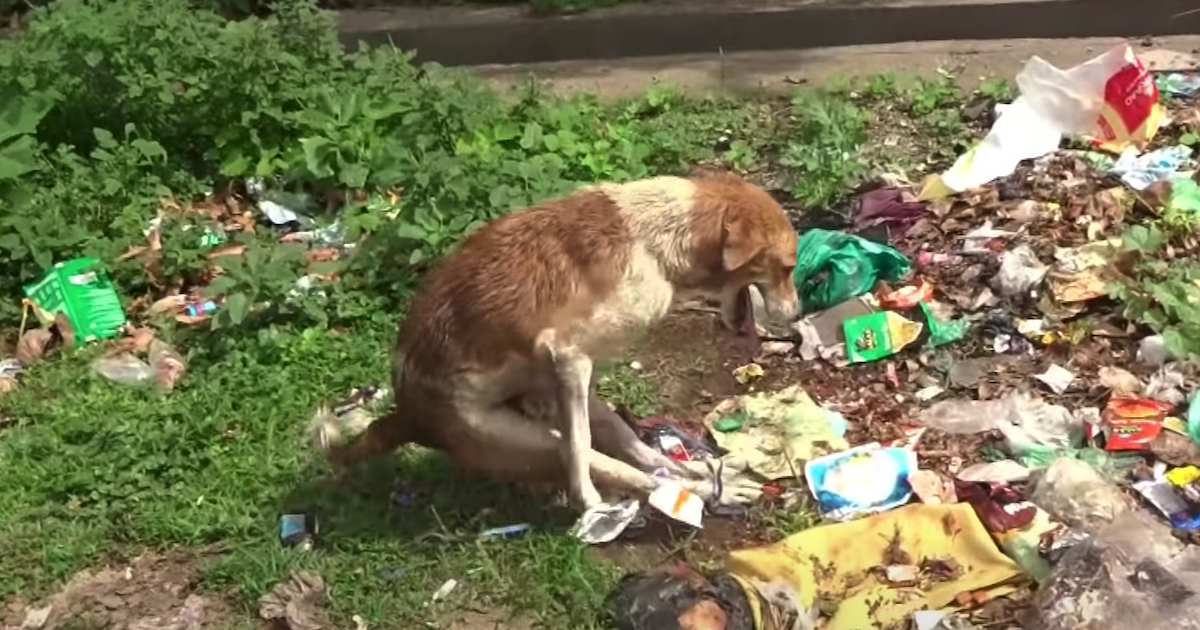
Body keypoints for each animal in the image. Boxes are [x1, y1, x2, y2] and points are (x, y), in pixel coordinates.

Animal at [314, 169, 801, 508]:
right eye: (788, 268)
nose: (797, 318)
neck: (655, 239)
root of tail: (403, 415)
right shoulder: (567, 355)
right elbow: (580, 451)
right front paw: (586, 500)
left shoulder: (574, 374)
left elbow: (616, 444)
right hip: (525, 437)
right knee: (619, 468)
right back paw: (706, 492)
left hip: (577, 405)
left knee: (646, 460)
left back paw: (711, 477)